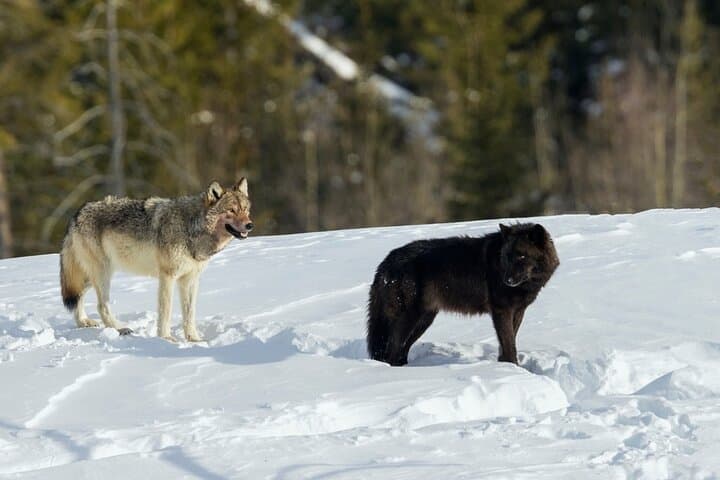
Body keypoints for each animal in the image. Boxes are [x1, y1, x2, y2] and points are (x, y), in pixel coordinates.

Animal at [60, 178, 253, 341]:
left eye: (245, 209)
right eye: (231, 210)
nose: (250, 225)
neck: (190, 227)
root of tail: (77, 213)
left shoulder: (190, 279)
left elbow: (189, 313)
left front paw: (194, 340)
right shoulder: (167, 276)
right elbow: (165, 310)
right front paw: (166, 338)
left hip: (93, 276)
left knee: (78, 296)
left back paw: (83, 322)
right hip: (103, 273)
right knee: (101, 305)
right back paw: (120, 329)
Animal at [367, 223, 559, 366]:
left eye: (521, 256)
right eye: (507, 256)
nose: (507, 280)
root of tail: (387, 260)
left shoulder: (518, 311)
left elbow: (508, 341)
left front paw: (504, 365)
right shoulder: (501, 311)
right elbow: (509, 343)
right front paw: (512, 369)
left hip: (424, 320)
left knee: (401, 350)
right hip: (411, 318)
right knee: (392, 350)